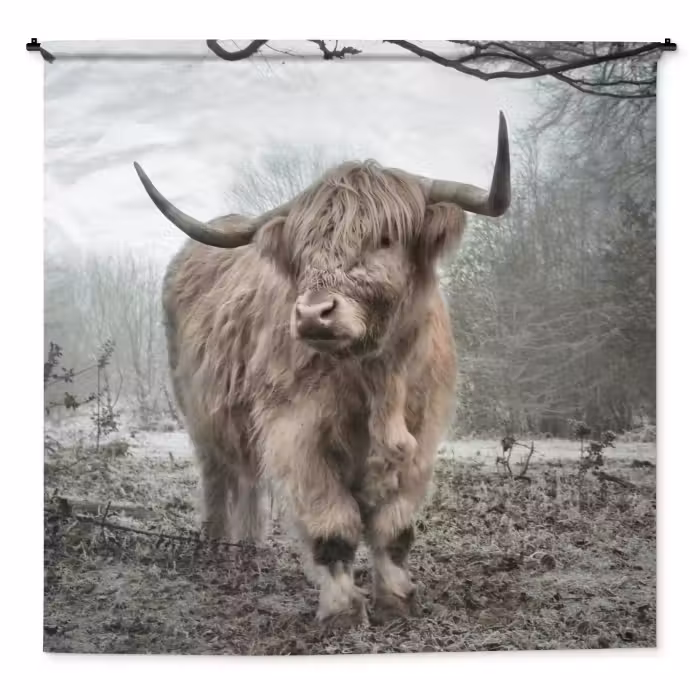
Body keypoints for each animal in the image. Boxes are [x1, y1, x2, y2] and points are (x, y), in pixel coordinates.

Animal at [134, 112, 510, 628]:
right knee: (218, 477)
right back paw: (216, 548)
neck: (376, 377)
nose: (314, 314)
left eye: (385, 239)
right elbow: (334, 526)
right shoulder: (297, 434)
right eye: (304, 249)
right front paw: (342, 610)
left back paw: (248, 547)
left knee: (248, 480)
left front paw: (396, 600)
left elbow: (394, 529)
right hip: (199, 413)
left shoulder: (421, 436)